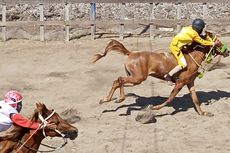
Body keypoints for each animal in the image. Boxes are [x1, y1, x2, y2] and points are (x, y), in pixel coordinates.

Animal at [92, 35, 229, 116]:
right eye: (218, 42)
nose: (227, 51)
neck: (192, 57)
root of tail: (131, 53)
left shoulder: (190, 82)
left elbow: (195, 99)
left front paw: (203, 113)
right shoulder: (180, 83)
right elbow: (170, 98)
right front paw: (155, 108)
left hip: (135, 79)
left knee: (118, 81)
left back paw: (108, 99)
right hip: (138, 78)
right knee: (119, 80)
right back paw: (117, 99)